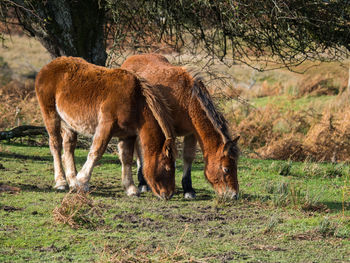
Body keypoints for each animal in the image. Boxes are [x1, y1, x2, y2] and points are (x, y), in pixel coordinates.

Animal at [36, 56, 176, 200]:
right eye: (167, 167)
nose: (169, 194)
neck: (135, 101)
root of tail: (48, 66)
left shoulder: (128, 134)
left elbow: (126, 159)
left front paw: (130, 188)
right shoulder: (106, 126)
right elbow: (96, 152)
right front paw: (82, 182)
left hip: (68, 123)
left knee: (69, 147)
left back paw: (72, 181)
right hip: (50, 115)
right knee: (56, 145)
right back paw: (61, 182)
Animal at [121, 53, 239, 199]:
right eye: (226, 169)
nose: (234, 195)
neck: (186, 99)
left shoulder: (192, 133)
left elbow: (188, 157)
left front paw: (188, 189)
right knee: (138, 150)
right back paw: (142, 183)